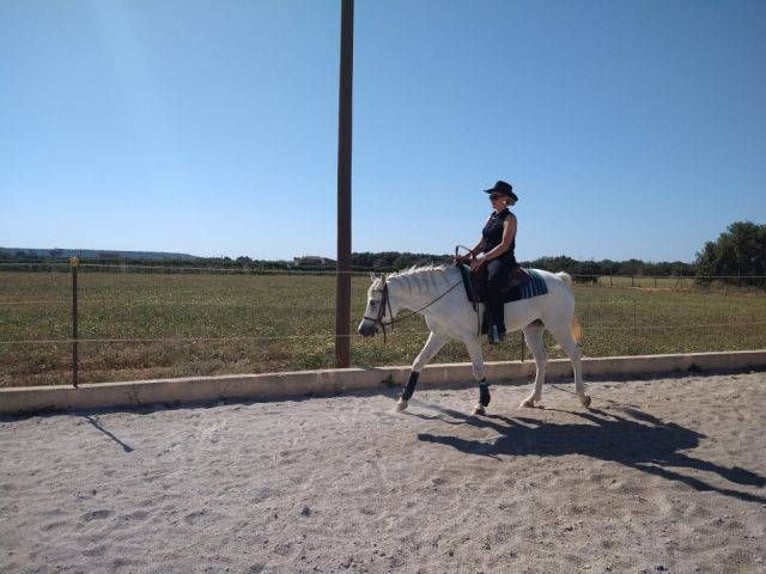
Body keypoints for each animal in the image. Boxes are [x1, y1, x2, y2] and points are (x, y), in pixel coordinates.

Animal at [356, 264, 592, 416]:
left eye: (373, 302)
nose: (362, 329)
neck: (444, 297)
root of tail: (559, 279)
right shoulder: (439, 335)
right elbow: (418, 362)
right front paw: (403, 400)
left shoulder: (470, 338)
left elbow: (478, 370)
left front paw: (482, 403)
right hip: (532, 329)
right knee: (541, 360)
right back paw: (532, 399)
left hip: (558, 326)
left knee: (574, 354)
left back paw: (582, 396)